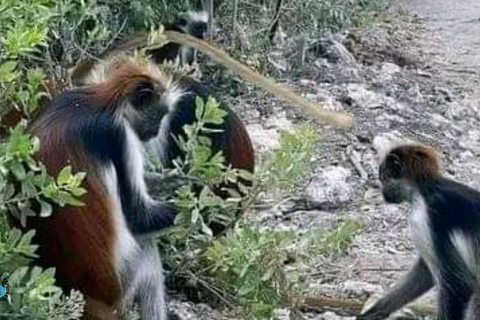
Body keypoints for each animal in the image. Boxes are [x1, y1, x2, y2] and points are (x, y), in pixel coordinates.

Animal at [360, 144, 480, 320]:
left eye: (382, 178)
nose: (382, 193)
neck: (425, 189)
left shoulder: (426, 215)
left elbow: (460, 285)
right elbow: (424, 273)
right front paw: (374, 312)